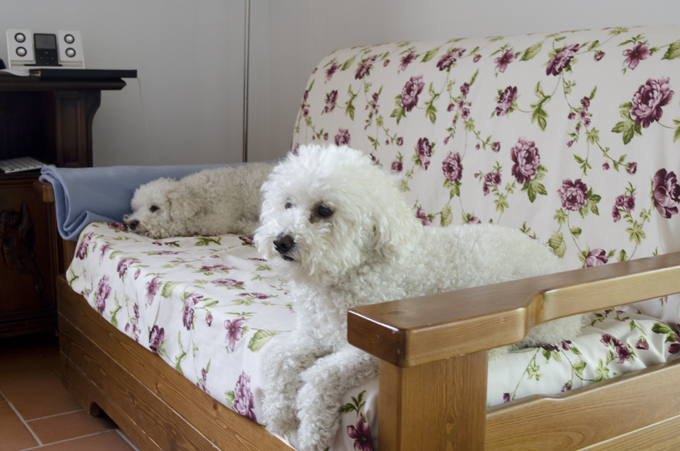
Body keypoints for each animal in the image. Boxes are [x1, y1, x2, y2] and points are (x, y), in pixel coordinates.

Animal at [124, 163, 272, 239]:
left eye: (154, 208)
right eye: (136, 209)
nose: (131, 223)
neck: (197, 195)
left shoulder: (218, 221)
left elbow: (187, 224)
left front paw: (157, 230)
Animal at [254, 144, 585, 451]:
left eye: (324, 210)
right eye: (287, 204)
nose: (281, 241)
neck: (350, 269)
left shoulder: (365, 350)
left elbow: (320, 378)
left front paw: (311, 434)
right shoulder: (314, 334)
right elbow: (277, 358)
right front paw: (279, 415)